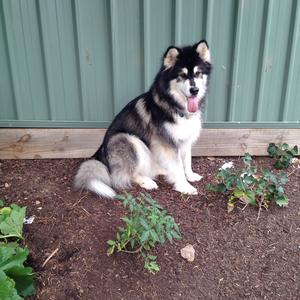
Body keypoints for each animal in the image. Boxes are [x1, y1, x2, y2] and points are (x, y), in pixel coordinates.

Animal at [74, 40, 211, 199]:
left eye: (198, 73)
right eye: (182, 75)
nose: (194, 90)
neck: (175, 105)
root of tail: (99, 153)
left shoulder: (185, 139)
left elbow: (186, 161)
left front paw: (190, 175)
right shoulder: (169, 143)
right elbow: (177, 166)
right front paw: (184, 185)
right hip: (127, 139)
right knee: (123, 175)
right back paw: (146, 181)